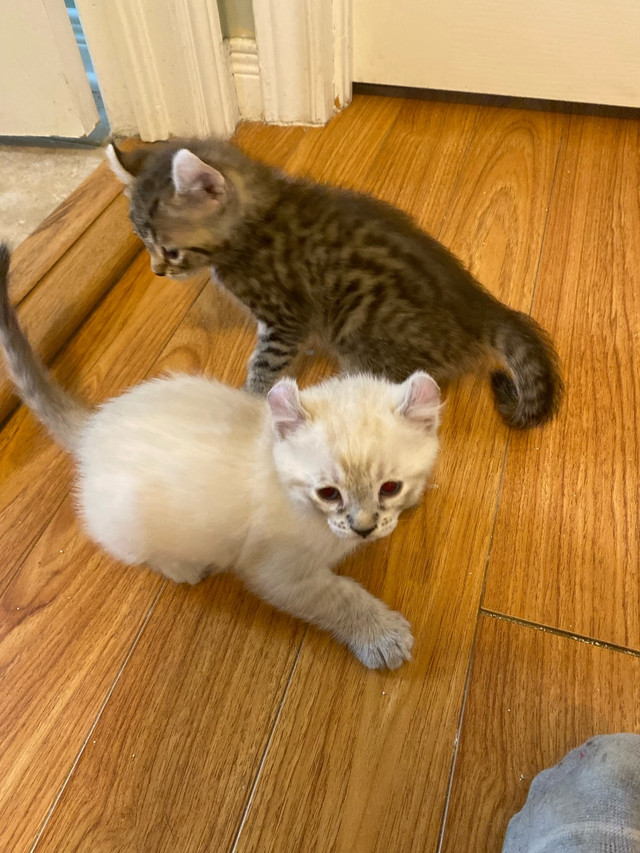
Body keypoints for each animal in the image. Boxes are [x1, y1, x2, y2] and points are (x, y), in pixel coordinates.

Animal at [0, 243, 440, 668]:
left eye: (390, 487)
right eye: (328, 493)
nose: (364, 528)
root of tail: (94, 426)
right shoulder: (279, 573)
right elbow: (340, 597)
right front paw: (382, 637)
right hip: (131, 524)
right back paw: (185, 567)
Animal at [107, 142, 564, 430]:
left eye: (170, 251)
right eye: (142, 242)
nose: (156, 271)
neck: (253, 222)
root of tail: (482, 308)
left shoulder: (284, 319)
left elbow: (265, 364)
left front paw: (249, 398)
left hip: (364, 335)